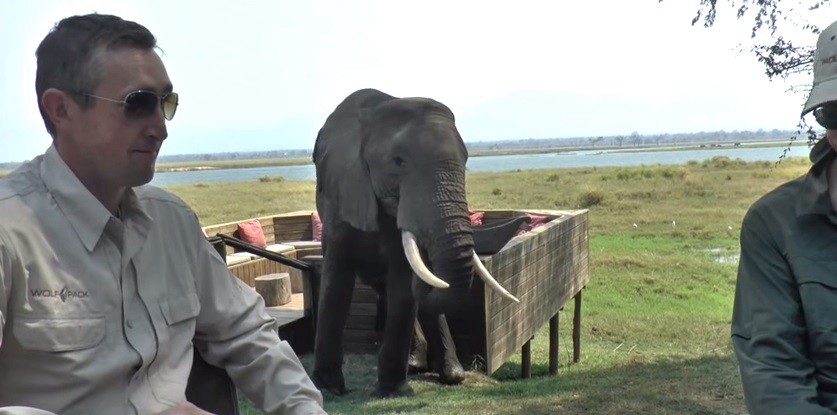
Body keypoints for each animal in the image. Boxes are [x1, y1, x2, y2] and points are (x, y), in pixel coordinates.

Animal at [311, 88, 518, 398]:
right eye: (399, 162)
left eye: (466, 161)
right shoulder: (341, 196)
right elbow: (335, 282)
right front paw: (328, 389)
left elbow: (402, 285)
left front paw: (391, 391)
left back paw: (450, 374)